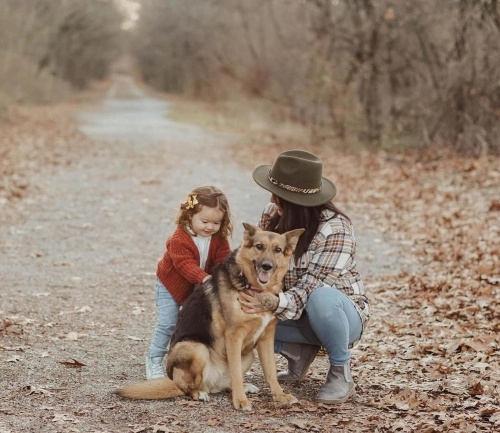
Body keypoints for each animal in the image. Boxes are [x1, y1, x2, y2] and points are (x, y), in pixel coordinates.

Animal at [116, 223, 304, 408]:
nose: (267, 266)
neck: (255, 287)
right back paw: (199, 393)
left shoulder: (266, 338)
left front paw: (280, 396)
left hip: (248, 355)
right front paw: (240, 401)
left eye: (278, 249)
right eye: (259, 246)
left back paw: (241, 387)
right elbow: (236, 373)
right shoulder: (234, 337)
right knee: (187, 387)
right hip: (197, 349)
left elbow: (270, 372)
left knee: (225, 383)